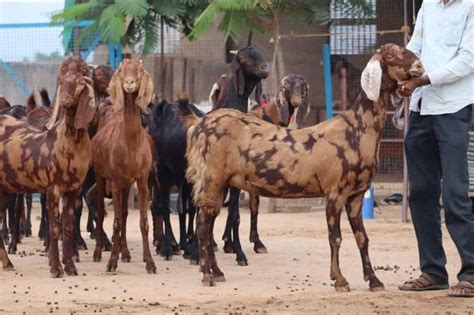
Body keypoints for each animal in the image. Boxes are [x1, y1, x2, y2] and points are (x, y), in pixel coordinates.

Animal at [92, 57, 157, 274]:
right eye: (121, 70)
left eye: (139, 70)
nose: (129, 83)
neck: (131, 143)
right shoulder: (116, 181)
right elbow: (116, 222)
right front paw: (112, 262)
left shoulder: (142, 181)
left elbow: (143, 222)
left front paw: (150, 262)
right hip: (101, 176)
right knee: (102, 211)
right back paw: (98, 253)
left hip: (128, 184)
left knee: (126, 214)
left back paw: (126, 252)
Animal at [179, 43, 426, 290]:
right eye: (391, 55)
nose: (419, 66)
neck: (356, 129)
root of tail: (199, 125)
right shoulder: (334, 192)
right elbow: (335, 238)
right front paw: (339, 279)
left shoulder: (356, 195)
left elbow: (362, 238)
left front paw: (374, 280)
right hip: (211, 179)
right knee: (203, 225)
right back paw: (207, 275)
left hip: (219, 183)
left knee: (208, 223)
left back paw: (217, 271)